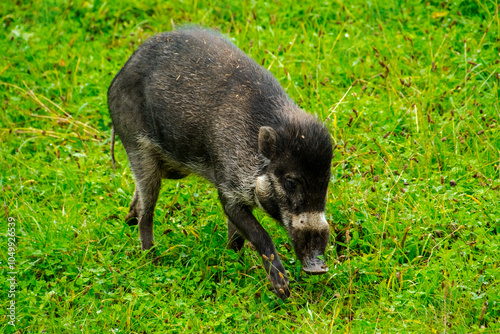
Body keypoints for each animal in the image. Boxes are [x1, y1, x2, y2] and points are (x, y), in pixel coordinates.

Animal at [106, 26, 332, 298]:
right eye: (290, 181)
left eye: (326, 182)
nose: (318, 267)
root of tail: (117, 78)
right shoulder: (228, 190)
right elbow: (259, 233)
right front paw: (283, 289)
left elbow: (237, 236)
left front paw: (234, 262)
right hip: (138, 148)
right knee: (146, 210)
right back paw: (153, 259)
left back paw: (127, 223)